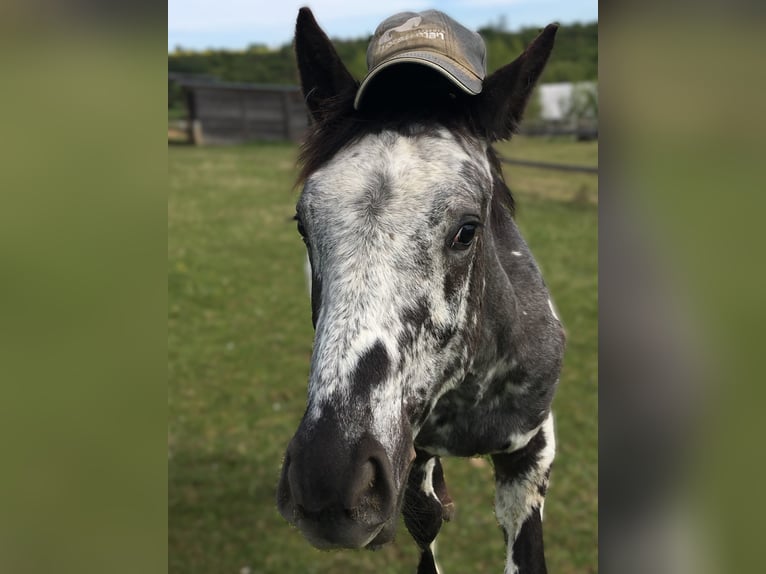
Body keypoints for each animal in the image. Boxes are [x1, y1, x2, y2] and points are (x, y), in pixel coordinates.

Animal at [276, 9, 564, 574]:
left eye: (467, 230)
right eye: (303, 224)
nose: (327, 481)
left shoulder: (532, 451)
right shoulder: (412, 452)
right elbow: (424, 520)